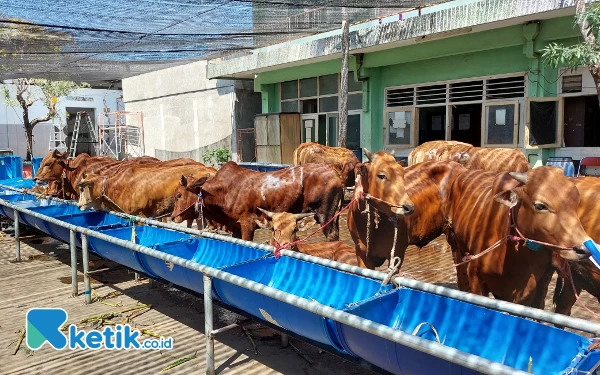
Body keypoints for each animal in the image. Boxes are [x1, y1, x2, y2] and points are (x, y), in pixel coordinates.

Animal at [171, 162, 344, 241]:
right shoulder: (235, 227)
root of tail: (334, 173)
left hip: (325, 215)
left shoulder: (247, 224)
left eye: (178, 195)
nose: (173, 217)